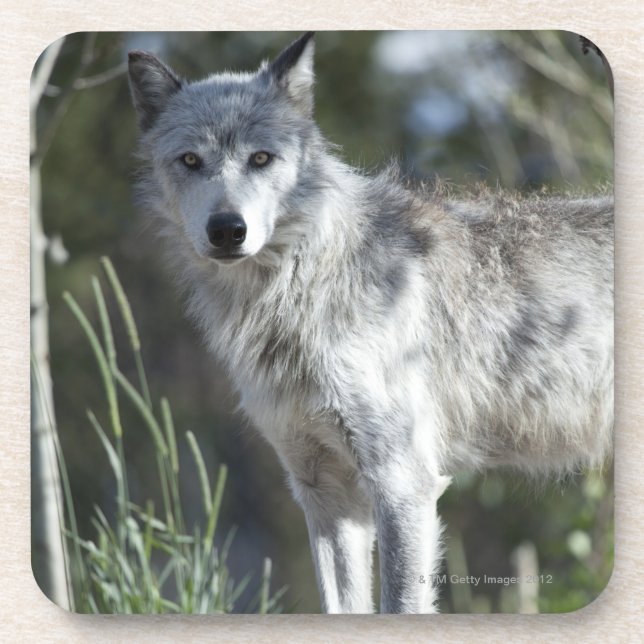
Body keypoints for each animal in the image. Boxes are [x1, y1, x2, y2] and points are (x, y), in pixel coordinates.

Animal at [127, 32, 613, 613]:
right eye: (191, 160)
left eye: (261, 158)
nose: (227, 230)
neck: (299, 294)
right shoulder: (324, 490)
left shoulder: (403, 483)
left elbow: (400, 604)